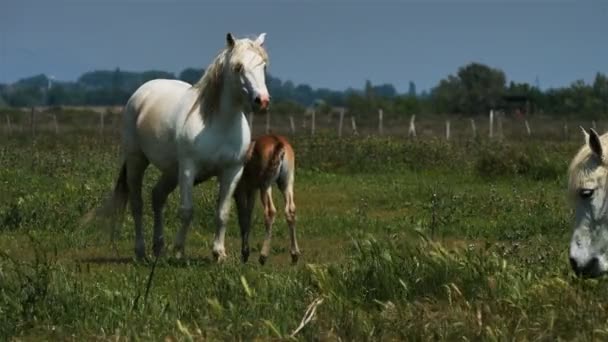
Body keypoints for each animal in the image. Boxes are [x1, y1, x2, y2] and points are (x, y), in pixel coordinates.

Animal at [87, 32, 270, 262]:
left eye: (264, 65)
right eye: (238, 67)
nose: (262, 100)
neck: (217, 123)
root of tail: (142, 92)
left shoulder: (232, 171)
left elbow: (223, 213)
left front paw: (219, 254)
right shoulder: (189, 169)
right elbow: (187, 211)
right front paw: (179, 251)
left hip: (171, 172)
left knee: (157, 196)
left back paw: (158, 248)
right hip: (137, 161)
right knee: (137, 204)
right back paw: (141, 251)